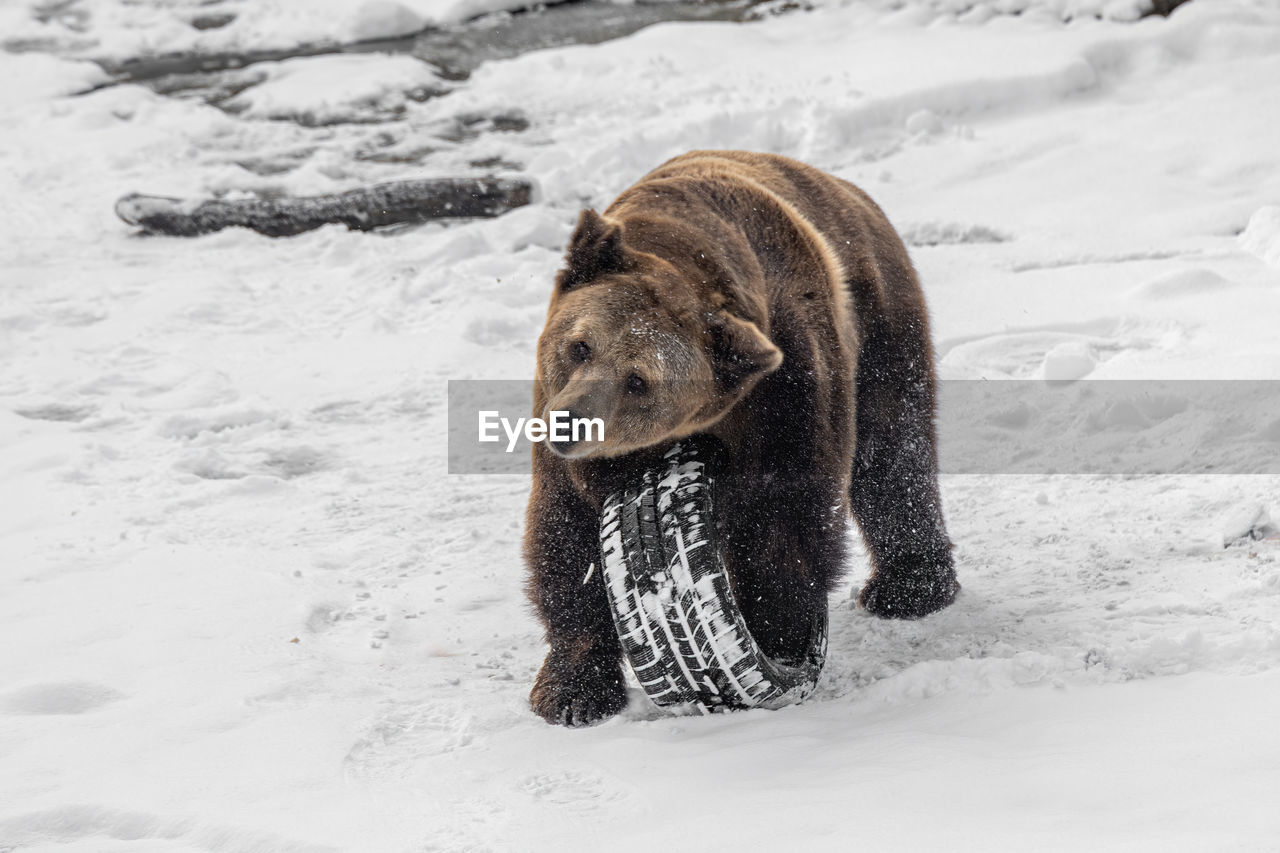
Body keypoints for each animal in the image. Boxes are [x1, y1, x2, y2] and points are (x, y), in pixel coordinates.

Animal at [524, 149, 957, 722]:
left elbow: (786, 511)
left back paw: (910, 587)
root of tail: (844, 187)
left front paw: (775, 638)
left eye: (638, 380)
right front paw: (572, 691)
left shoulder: (788, 384)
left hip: (880, 312)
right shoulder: (569, 450)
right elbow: (567, 540)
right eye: (579, 346)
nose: (570, 422)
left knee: (893, 448)